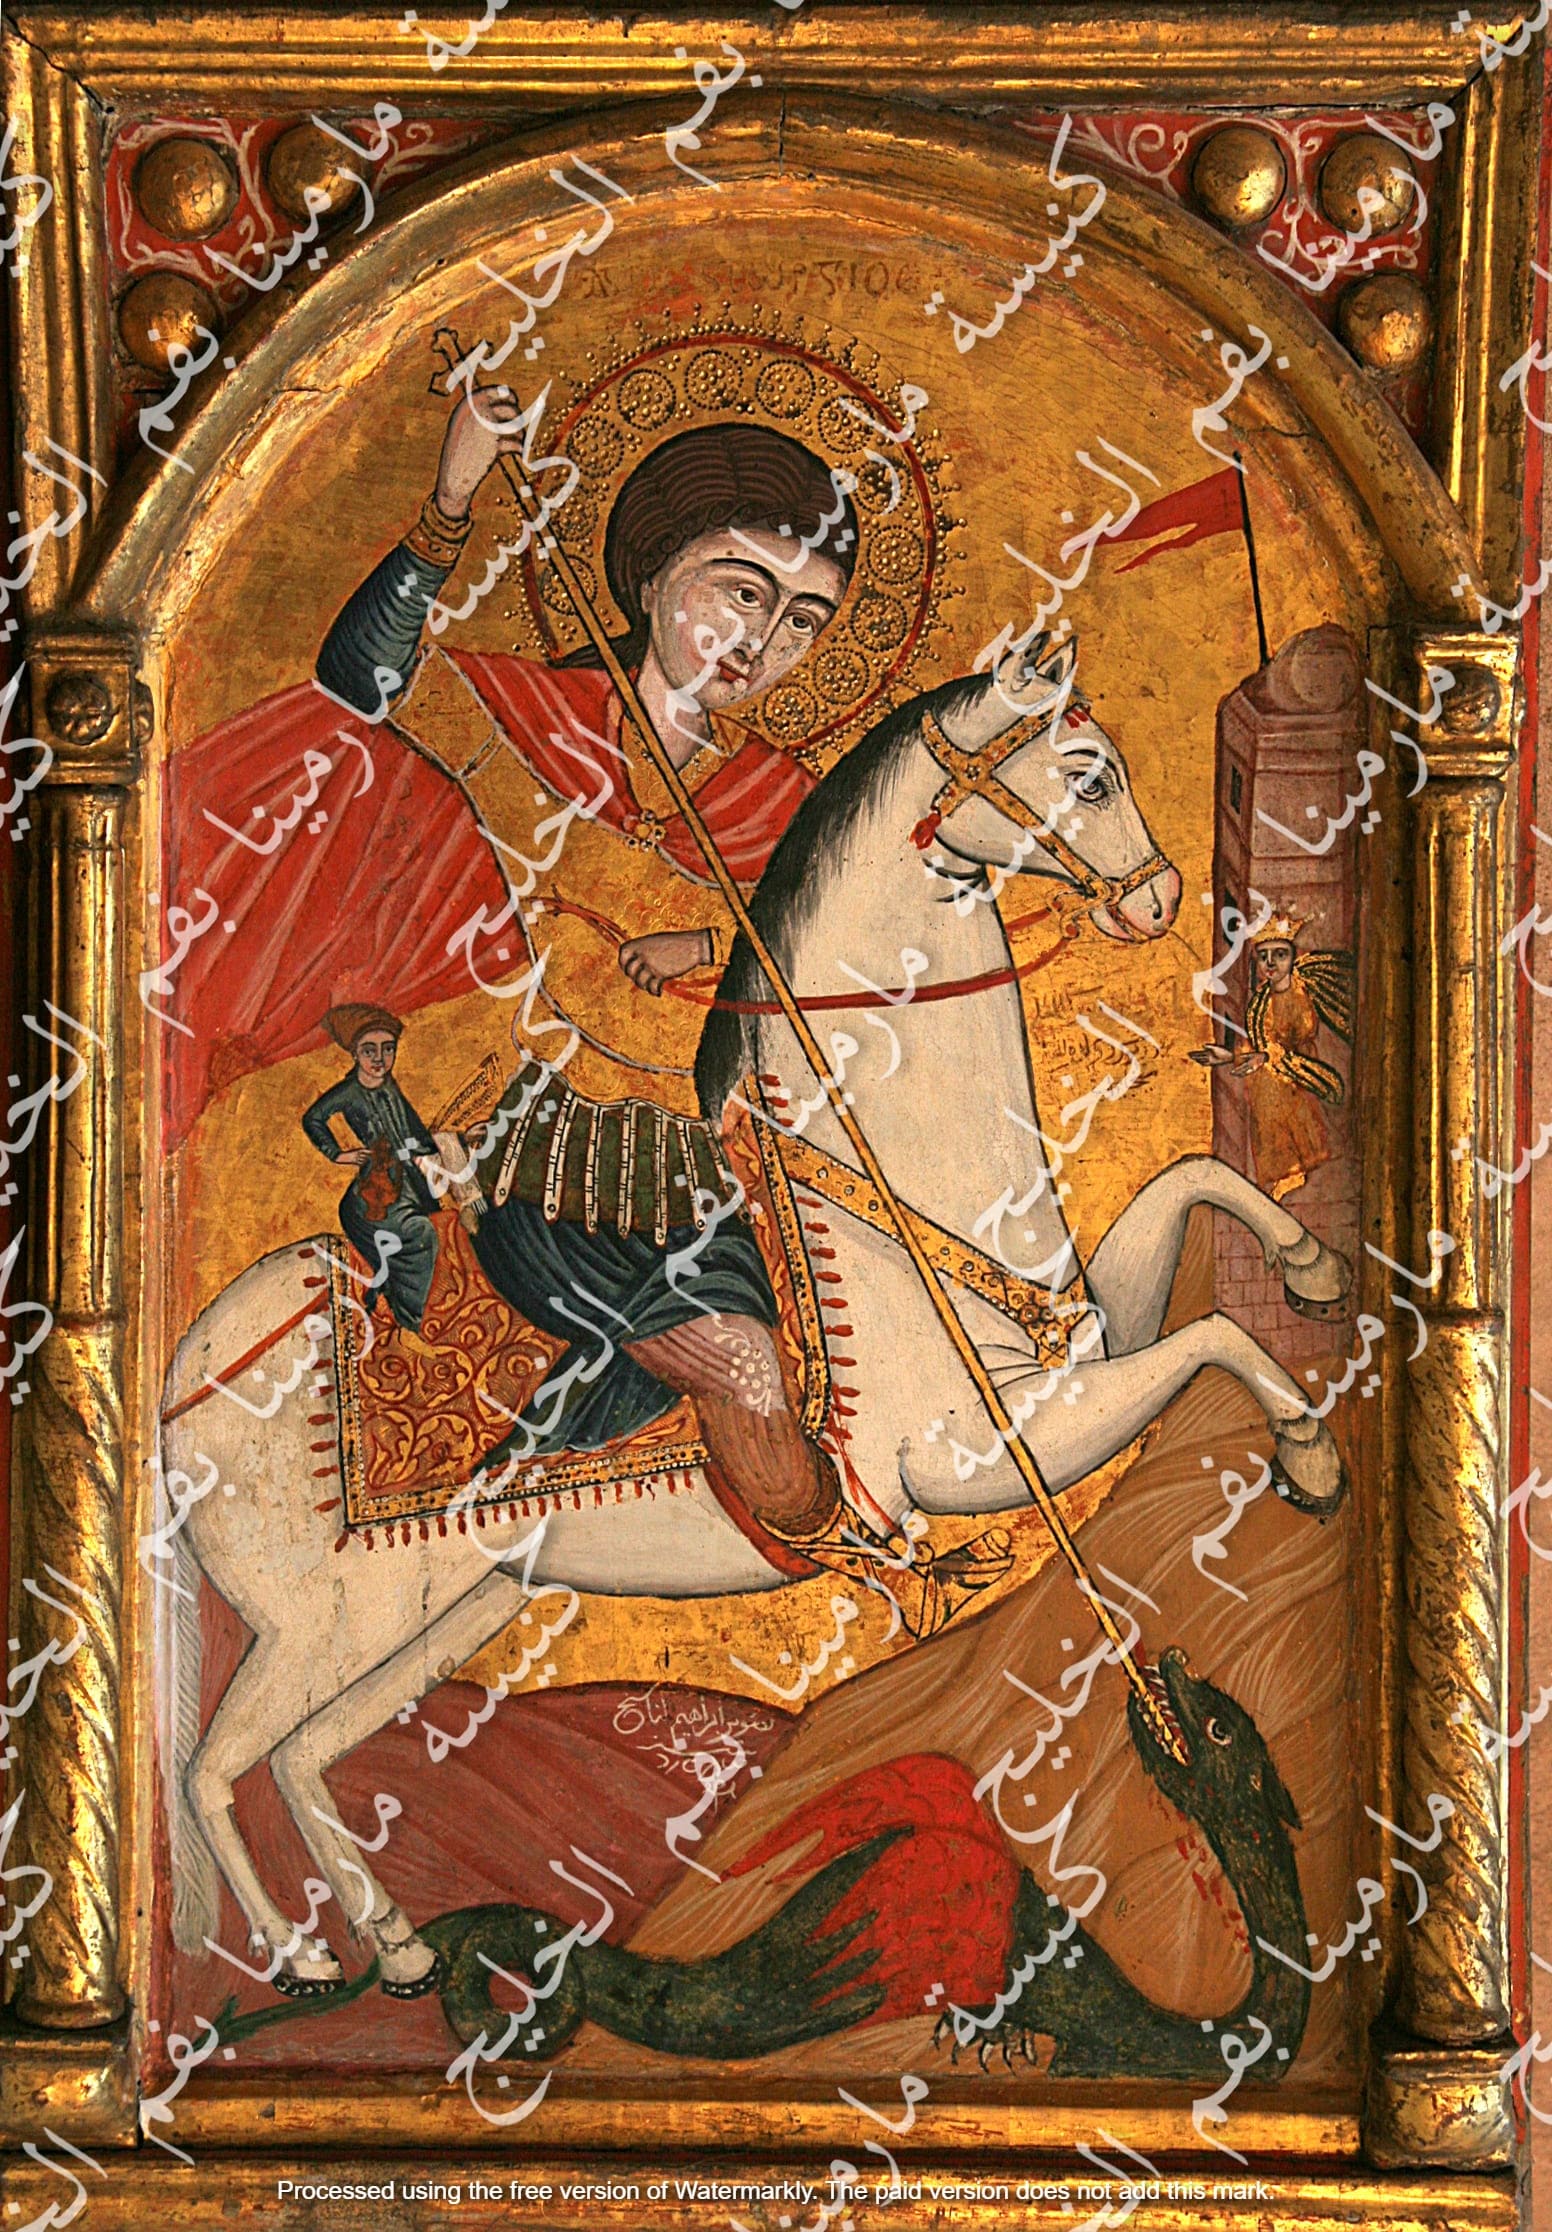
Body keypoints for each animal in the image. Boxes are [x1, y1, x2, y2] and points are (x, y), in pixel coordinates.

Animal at [158, 634, 1349, 1998]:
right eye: (1090, 772)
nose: (1157, 900)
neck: (869, 1166)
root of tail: (186, 1376)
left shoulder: (1080, 1338)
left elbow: (1193, 1185)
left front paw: (1313, 1267)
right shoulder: (982, 1453)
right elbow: (1217, 1338)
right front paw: (1310, 1452)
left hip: (444, 1606)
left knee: (302, 1757)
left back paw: (396, 1946)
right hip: (318, 1623)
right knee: (214, 1767)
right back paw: (303, 1954)